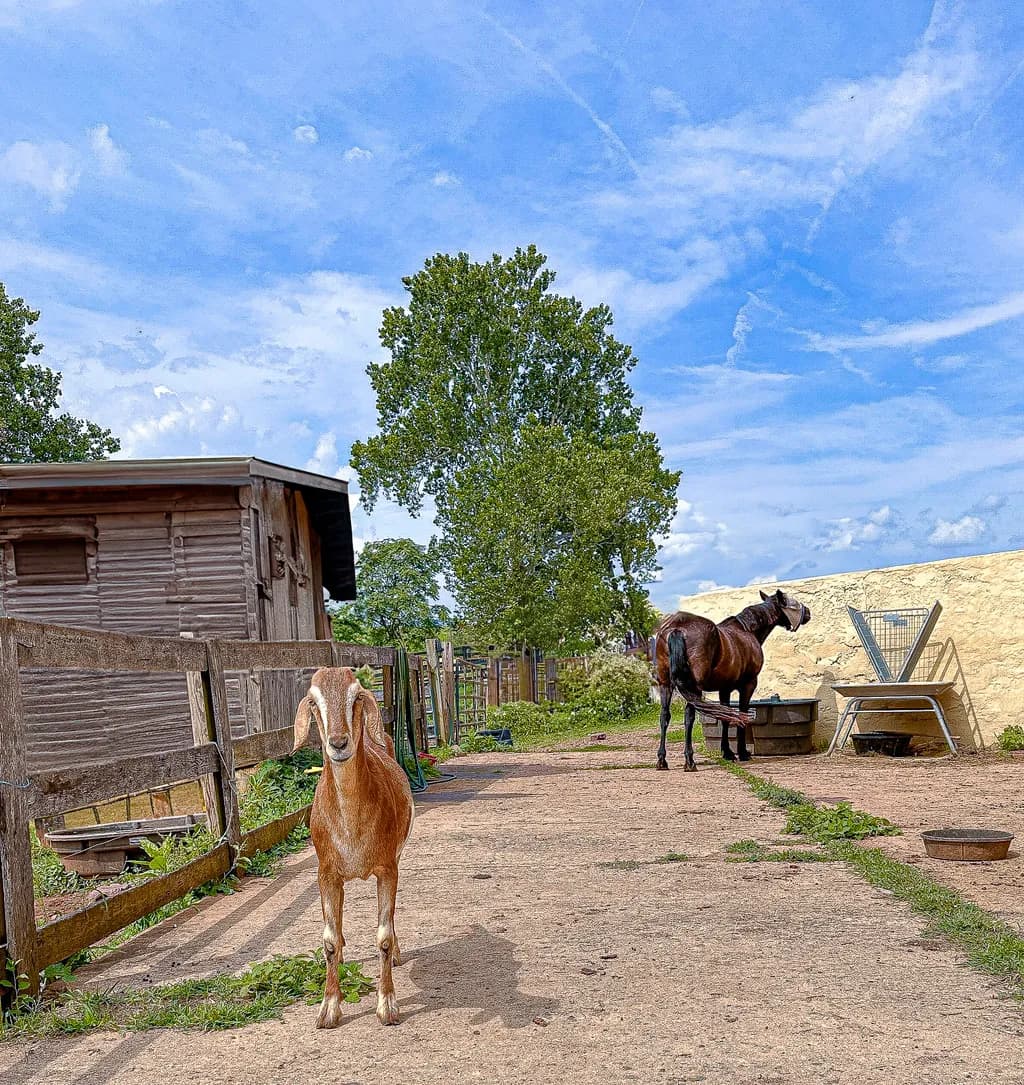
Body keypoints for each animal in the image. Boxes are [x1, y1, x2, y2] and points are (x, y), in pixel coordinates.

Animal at [293, 667, 415, 1027]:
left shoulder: (388, 868)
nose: (338, 743)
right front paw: (329, 1008)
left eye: (357, 696)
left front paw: (387, 1006)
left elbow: (384, 935)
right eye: (313, 702)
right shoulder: (326, 873)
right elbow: (329, 939)